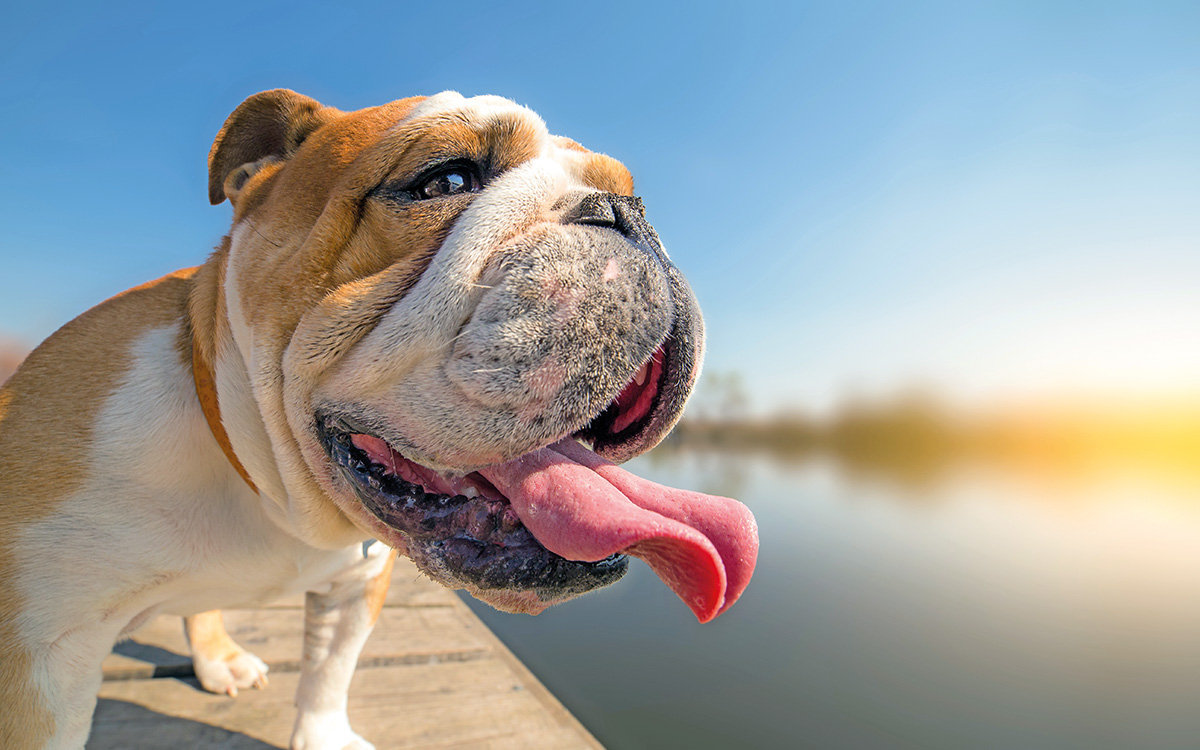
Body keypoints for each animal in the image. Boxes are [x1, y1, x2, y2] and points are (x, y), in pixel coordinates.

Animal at [0, 92, 758, 748]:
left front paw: (324, 735)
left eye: (627, 190)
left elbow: (329, 674)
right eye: (446, 178)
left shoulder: (358, 585)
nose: (627, 211)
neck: (270, 492)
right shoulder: (40, 657)